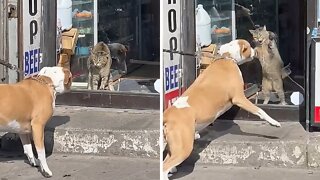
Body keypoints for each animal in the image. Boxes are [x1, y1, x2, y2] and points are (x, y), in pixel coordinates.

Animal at [162, 39, 280, 179]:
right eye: (248, 47)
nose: (255, 51)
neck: (226, 57)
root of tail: (167, 115)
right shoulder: (239, 98)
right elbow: (260, 111)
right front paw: (274, 122)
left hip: (174, 146)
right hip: (183, 148)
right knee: (164, 167)